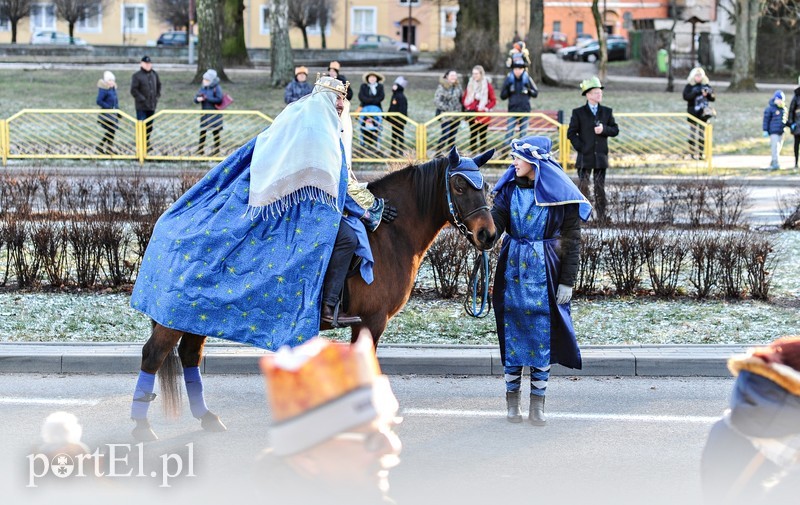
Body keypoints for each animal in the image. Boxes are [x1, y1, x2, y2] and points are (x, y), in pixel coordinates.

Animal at [130, 148, 494, 440]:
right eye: (459, 186)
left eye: (487, 187)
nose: (488, 235)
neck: (390, 234)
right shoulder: (372, 321)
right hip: (175, 317)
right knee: (153, 355)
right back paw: (142, 427)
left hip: (195, 315)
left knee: (190, 355)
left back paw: (206, 418)